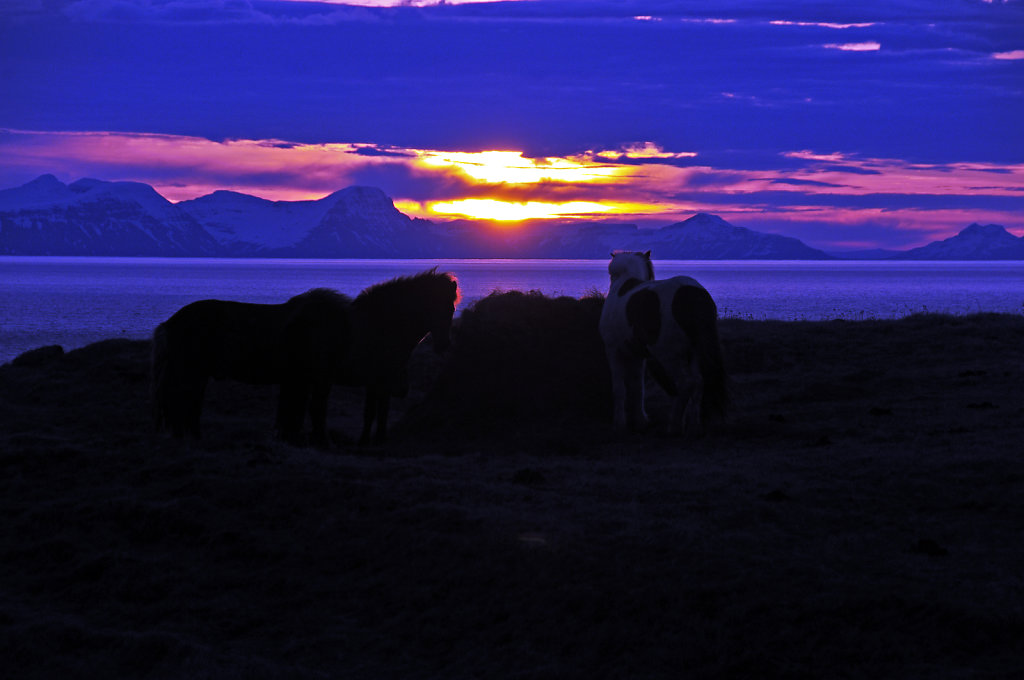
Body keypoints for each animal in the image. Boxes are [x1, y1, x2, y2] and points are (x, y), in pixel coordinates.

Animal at [151, 286, 352, 446]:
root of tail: (169, 324)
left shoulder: (297, 381)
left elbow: (291, 411)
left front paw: (288, 439)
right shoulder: (313, 379)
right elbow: (309, 410)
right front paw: (320, 442)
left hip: (197, 374)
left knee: (189, 404)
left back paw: (194, 437)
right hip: (187, 372)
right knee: (178, 401)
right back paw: (183, 436)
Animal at [342, 266, 458, 446]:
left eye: (451, 309)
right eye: (432, 306)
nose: (443, 344)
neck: (384, 325)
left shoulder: (381, 381)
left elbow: (380, 412)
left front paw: (375, 439)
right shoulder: (378, 380)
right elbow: (373, 412)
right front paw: (369, 441)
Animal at [598, 250, 729, 436]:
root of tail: (692, 293)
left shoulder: (613, 351)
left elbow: (619, 389)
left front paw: (619, 424)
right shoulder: (638, 355)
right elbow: (638, 388)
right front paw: (641, 421)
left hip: (670, 356)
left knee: (686, 384)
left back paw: (674, 426)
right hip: (694, 354)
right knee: (698, 383)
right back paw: (694, 427)